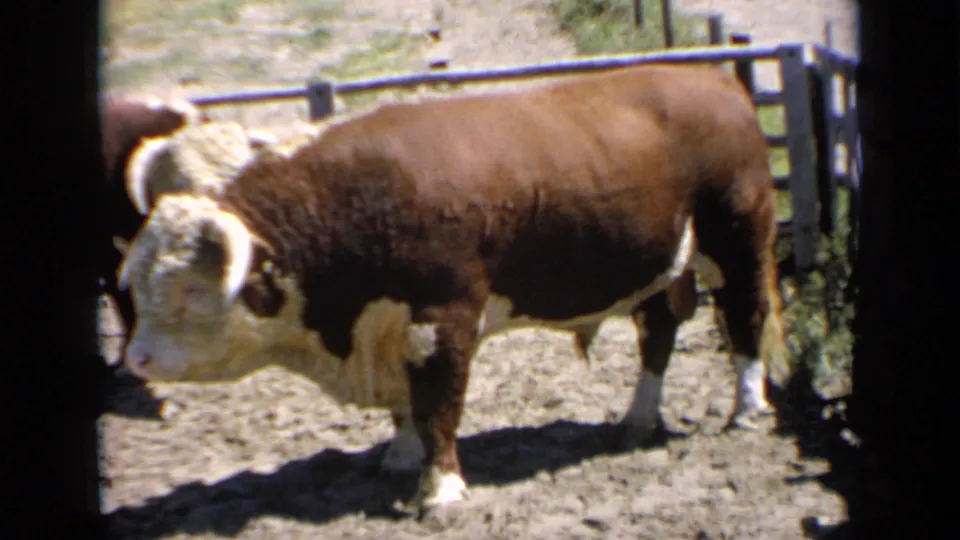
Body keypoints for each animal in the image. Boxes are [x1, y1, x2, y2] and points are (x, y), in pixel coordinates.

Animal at [116, 63, 792, 516]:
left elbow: (439, 406)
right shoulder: (388, 328)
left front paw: (440, 490)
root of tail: (713, 78)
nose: (137, 358)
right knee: (658, 334)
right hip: (657, 262)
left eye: (191, 292)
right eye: (141, 282)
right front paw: (400, 456)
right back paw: (637, 420)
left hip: (737, 238)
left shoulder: (440, 322)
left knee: (746, 318)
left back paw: (745, 409)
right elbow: (406, 408)